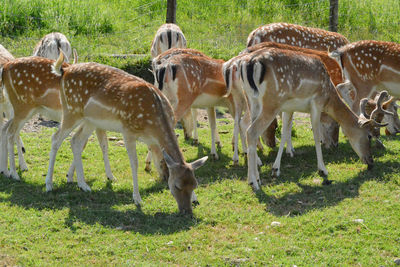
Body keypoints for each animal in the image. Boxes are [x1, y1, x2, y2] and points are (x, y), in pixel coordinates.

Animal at [0, 56, 115, 186]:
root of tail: (4, 69)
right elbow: (90, 144)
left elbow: (100, 144)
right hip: (21, 106)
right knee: (10, 132)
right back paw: (14, 173)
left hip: (22, 109)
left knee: (5, 129)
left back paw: (6, 170)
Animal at [47, 51, 208, 216]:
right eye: (176, 186)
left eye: (194, 185)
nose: (187, 211)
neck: (152, 123)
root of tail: (64, 71)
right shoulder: (128, 131)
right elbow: (134, 163)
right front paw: (137, 199)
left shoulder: (151, 141)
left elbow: (159, 161)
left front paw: (195, 199)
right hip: (71, 110)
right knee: (56, 138)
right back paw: (49, 184)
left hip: (89, 120)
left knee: (76, 141)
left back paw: (83, 185)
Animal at [236, 47, 386, 191]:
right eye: (369, 136)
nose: (371, 161)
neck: (328, 96)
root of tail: (250, 63)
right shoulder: (316, 103)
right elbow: (316, 135)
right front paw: (323, 170)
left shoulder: (288, 108)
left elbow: (285, 133)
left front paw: (276, 169)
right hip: (271, 102)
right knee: (251, 131)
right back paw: (253, 183)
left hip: (251, 100)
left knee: (251, 130)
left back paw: (258, 179)